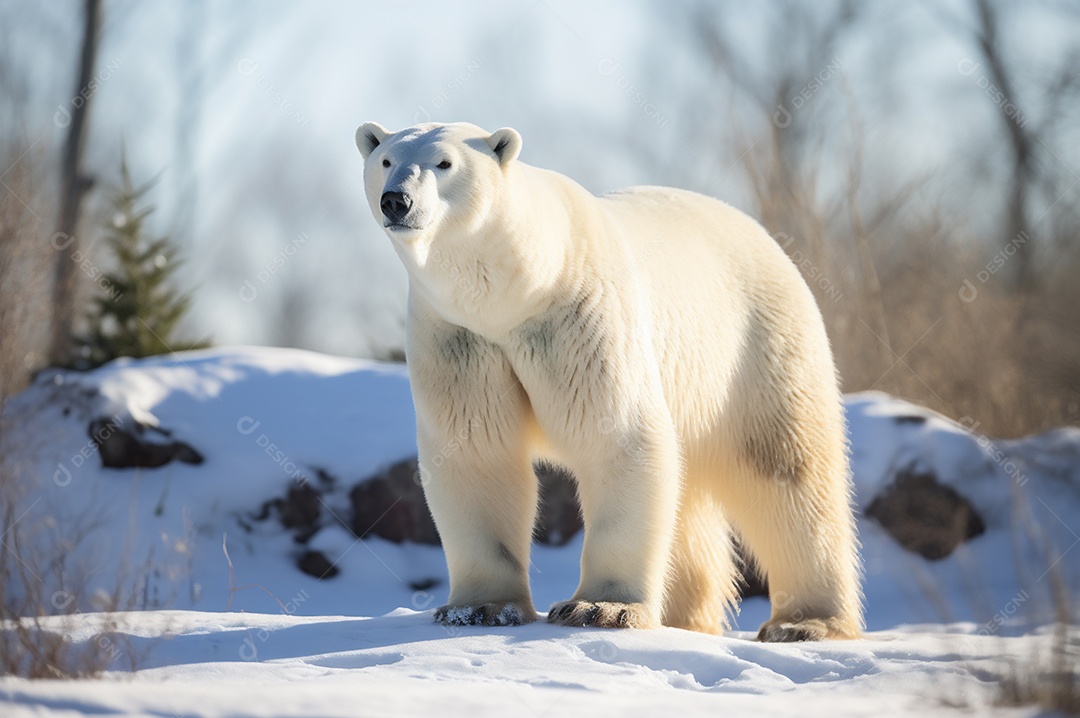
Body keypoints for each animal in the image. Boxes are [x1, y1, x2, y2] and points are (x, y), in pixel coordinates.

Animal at [358, 120, 864, 639]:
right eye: (386, 160)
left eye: (445, 162)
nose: (396, 200)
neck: (517, 291)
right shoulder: (458, 337)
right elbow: (477, 452)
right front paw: (479, 608)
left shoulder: (582, 315)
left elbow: (618, 436)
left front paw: (600, 608)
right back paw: (690, 618)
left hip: (756, 347)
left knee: (787, 471)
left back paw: (806, 622)